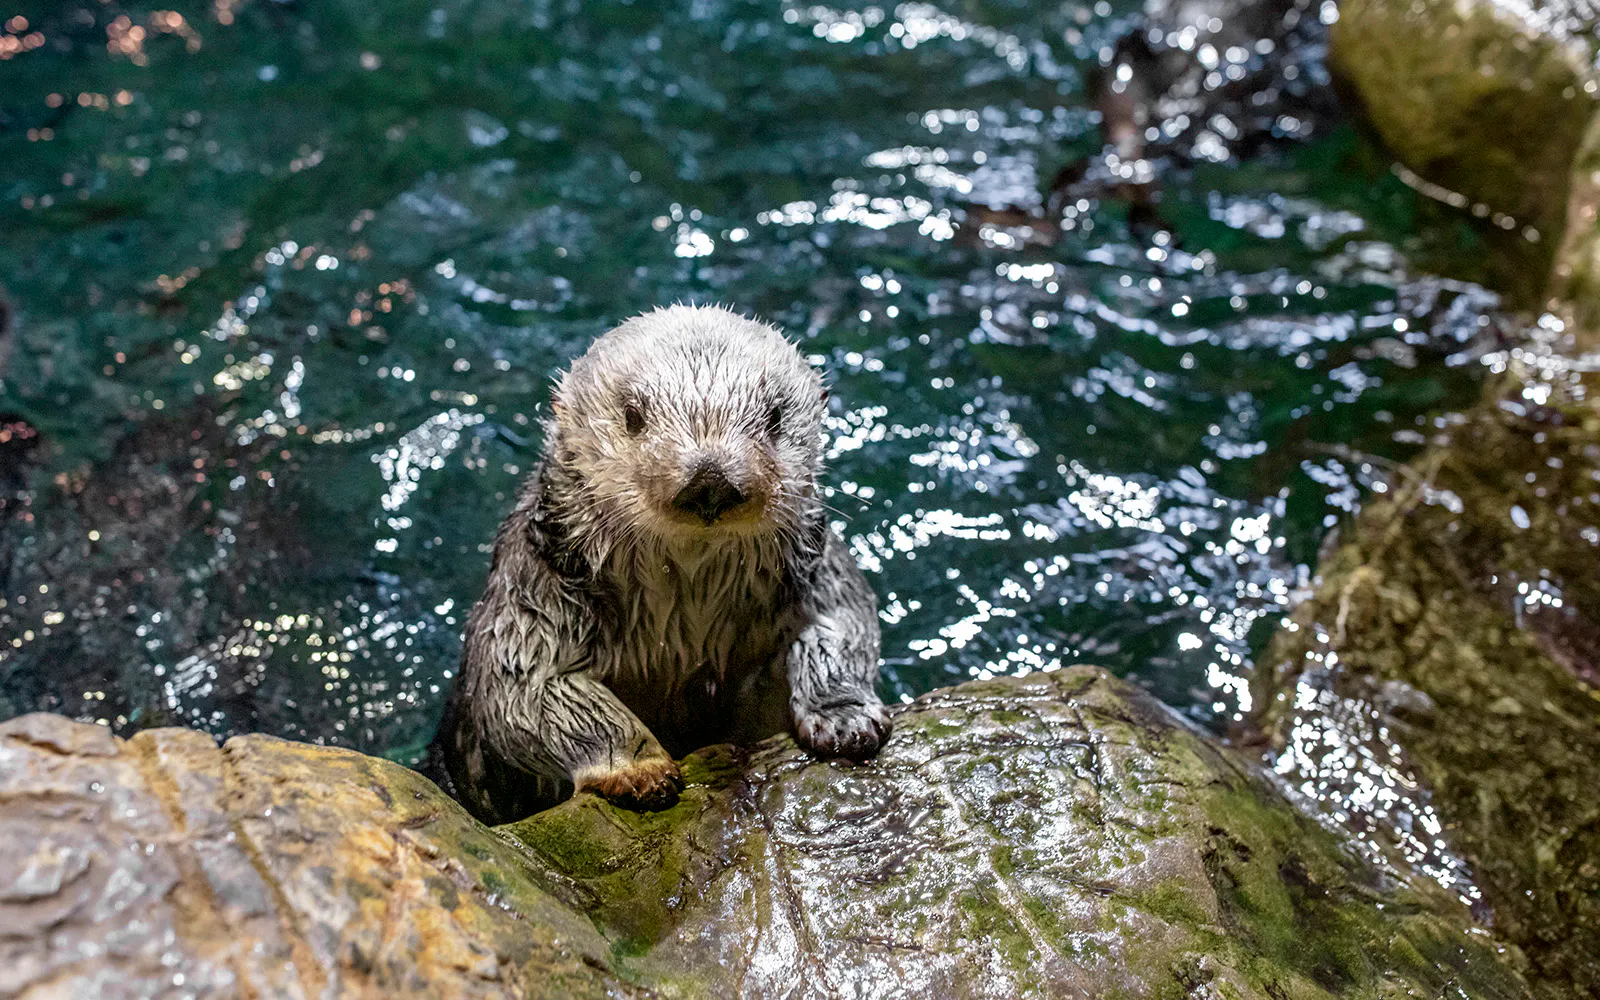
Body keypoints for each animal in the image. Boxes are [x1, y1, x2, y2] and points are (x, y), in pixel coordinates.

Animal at [434, 304, 890, 824]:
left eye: (775, 416)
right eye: (633, 416)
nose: (710, 479)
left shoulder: (820, 572)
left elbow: (843, 624)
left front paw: (844, 717)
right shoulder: (533, 598)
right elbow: (523, 690)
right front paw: (639, 769)